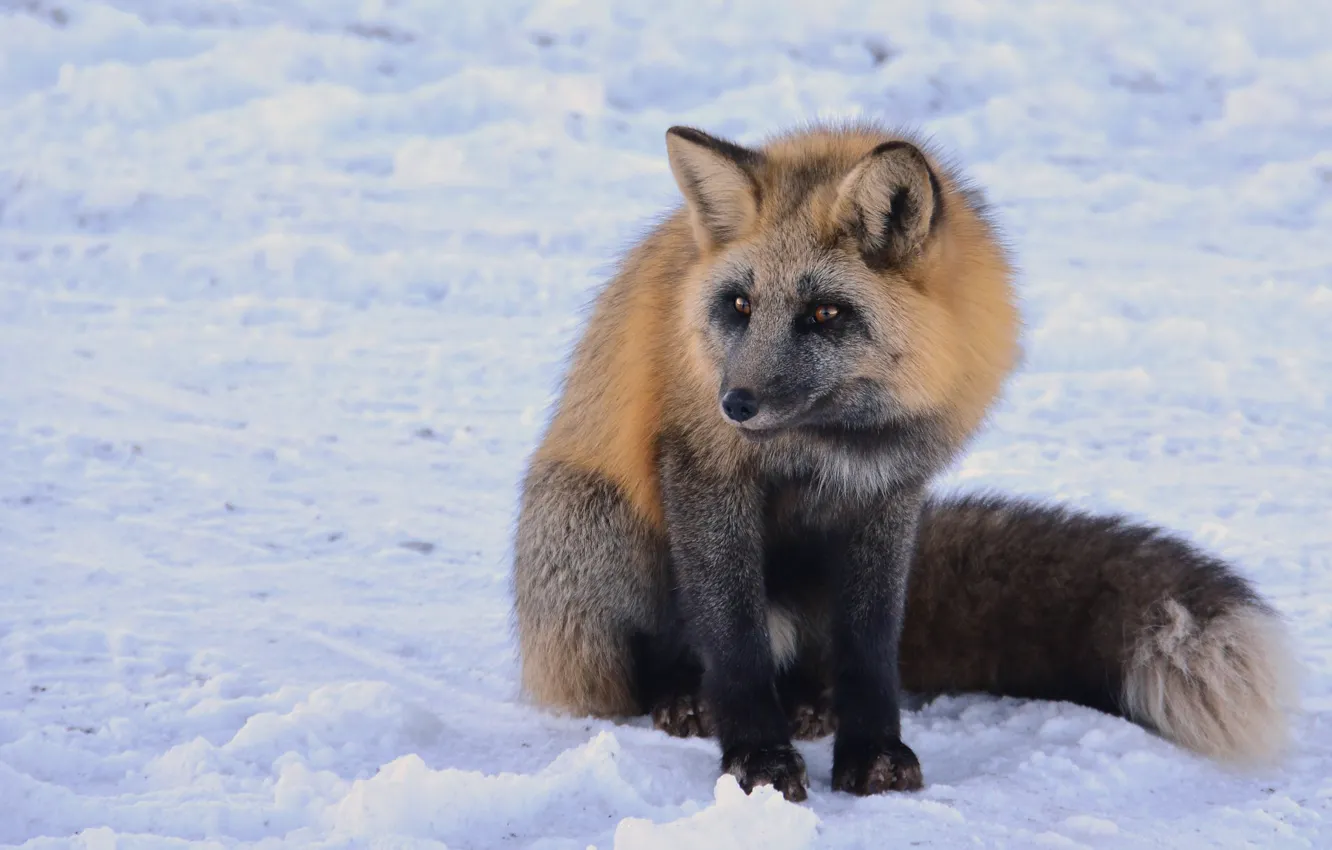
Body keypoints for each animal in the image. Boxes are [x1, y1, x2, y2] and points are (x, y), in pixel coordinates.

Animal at [511, 121, 1297, 801]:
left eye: (824, 314)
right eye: (738, 305)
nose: (735, 402)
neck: (831, 443)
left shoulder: (891, 494)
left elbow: (871, 646)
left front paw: (873, 755)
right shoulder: (707, 475)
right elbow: (733, 639)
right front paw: (757, 758)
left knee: (814, 661)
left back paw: (809, 703)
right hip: (599, 527)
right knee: (642, 670)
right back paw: (684, 700)